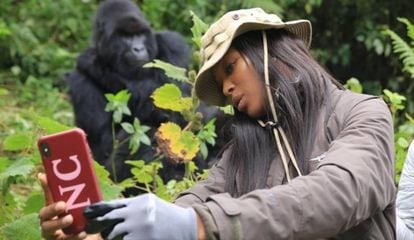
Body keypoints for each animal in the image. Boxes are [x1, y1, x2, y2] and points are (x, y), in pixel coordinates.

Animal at [66, 0, 197, 186]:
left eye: (140, 35)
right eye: (124, 37)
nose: (138, 48)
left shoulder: (173, 45)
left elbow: (182, 105)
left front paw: (96, 64)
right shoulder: (79, 81)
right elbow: (106, 144)